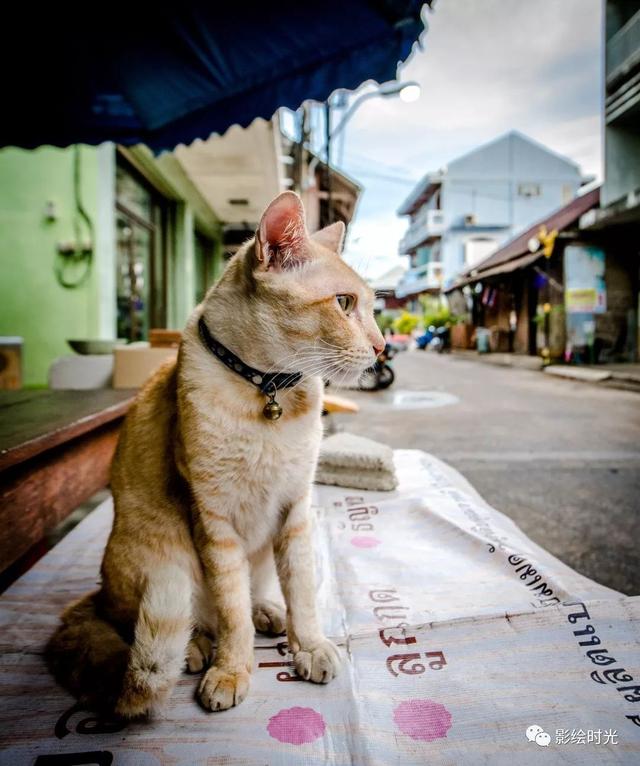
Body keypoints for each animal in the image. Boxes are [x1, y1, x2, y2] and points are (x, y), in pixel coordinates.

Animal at [47, 192, 384, 720]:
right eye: (344, 303)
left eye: (371, 307)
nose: (382, 347)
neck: (268, 390)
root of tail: (97, 595)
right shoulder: (215, 521)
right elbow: (231, 611)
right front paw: (232, 669)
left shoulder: (295, 510)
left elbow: (301, 590)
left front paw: (307, 644)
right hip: (162, 557)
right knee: (161, 620)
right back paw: (192, 646)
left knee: (257, 590)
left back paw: (267, 611)